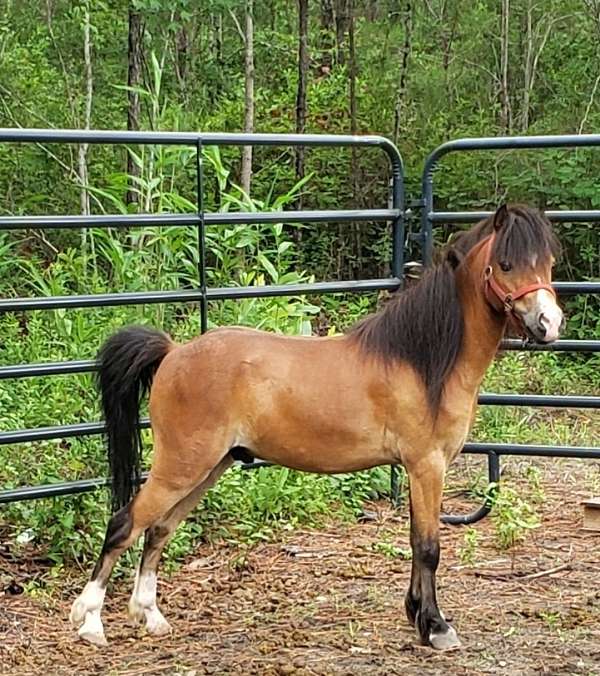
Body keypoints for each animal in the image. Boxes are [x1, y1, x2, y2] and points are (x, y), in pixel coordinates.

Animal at [69, 205, 564, 648]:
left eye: (548, 263)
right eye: (506, 263)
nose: (550, 323)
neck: (422, 361)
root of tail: (173, 353)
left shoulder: (416, 470)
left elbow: (413, 540)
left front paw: (417, 617)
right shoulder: (427, 466)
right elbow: (428, 547)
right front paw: (437, 628)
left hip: (207, 468)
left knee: (157, 529)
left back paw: (150, 616)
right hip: (182, 466)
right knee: (124, 524)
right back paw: (90, 622)